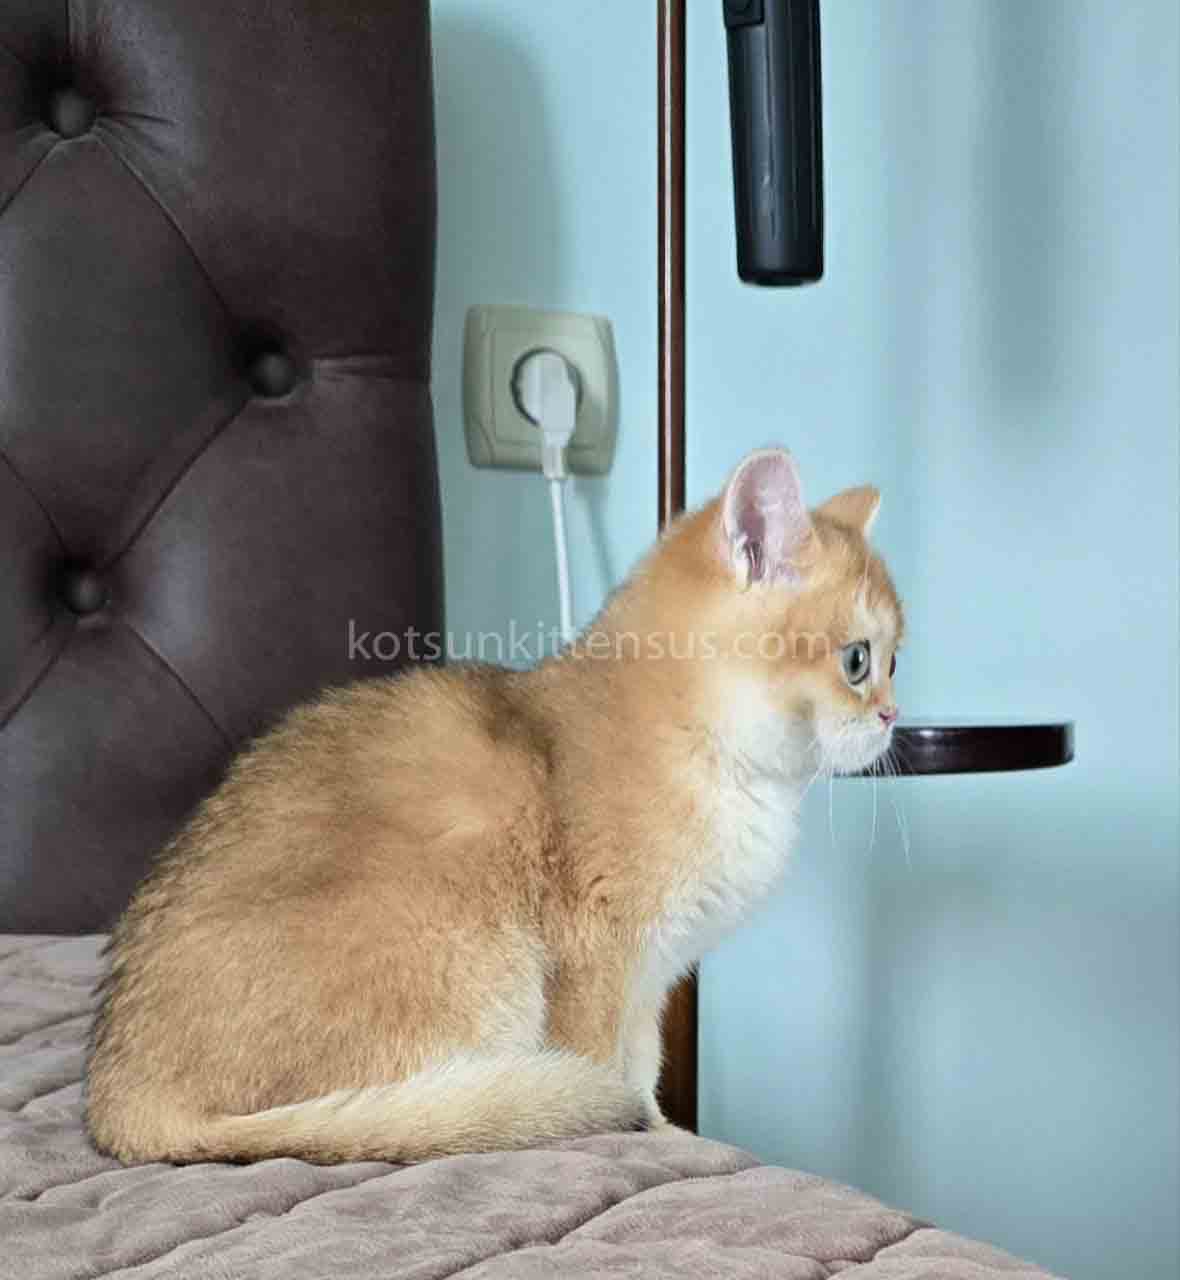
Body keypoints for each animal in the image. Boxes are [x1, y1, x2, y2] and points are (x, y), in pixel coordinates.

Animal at [85, 447, 903, 1166]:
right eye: (858, 660)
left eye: (897, 659)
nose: (895, 716)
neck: (700, 741)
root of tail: (118, 1098)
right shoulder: (598, 957)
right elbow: (607, 1065)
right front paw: (642, 1133)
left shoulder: (651, 980)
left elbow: (642, 1069)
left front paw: (666, 1130)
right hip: (482, 952)